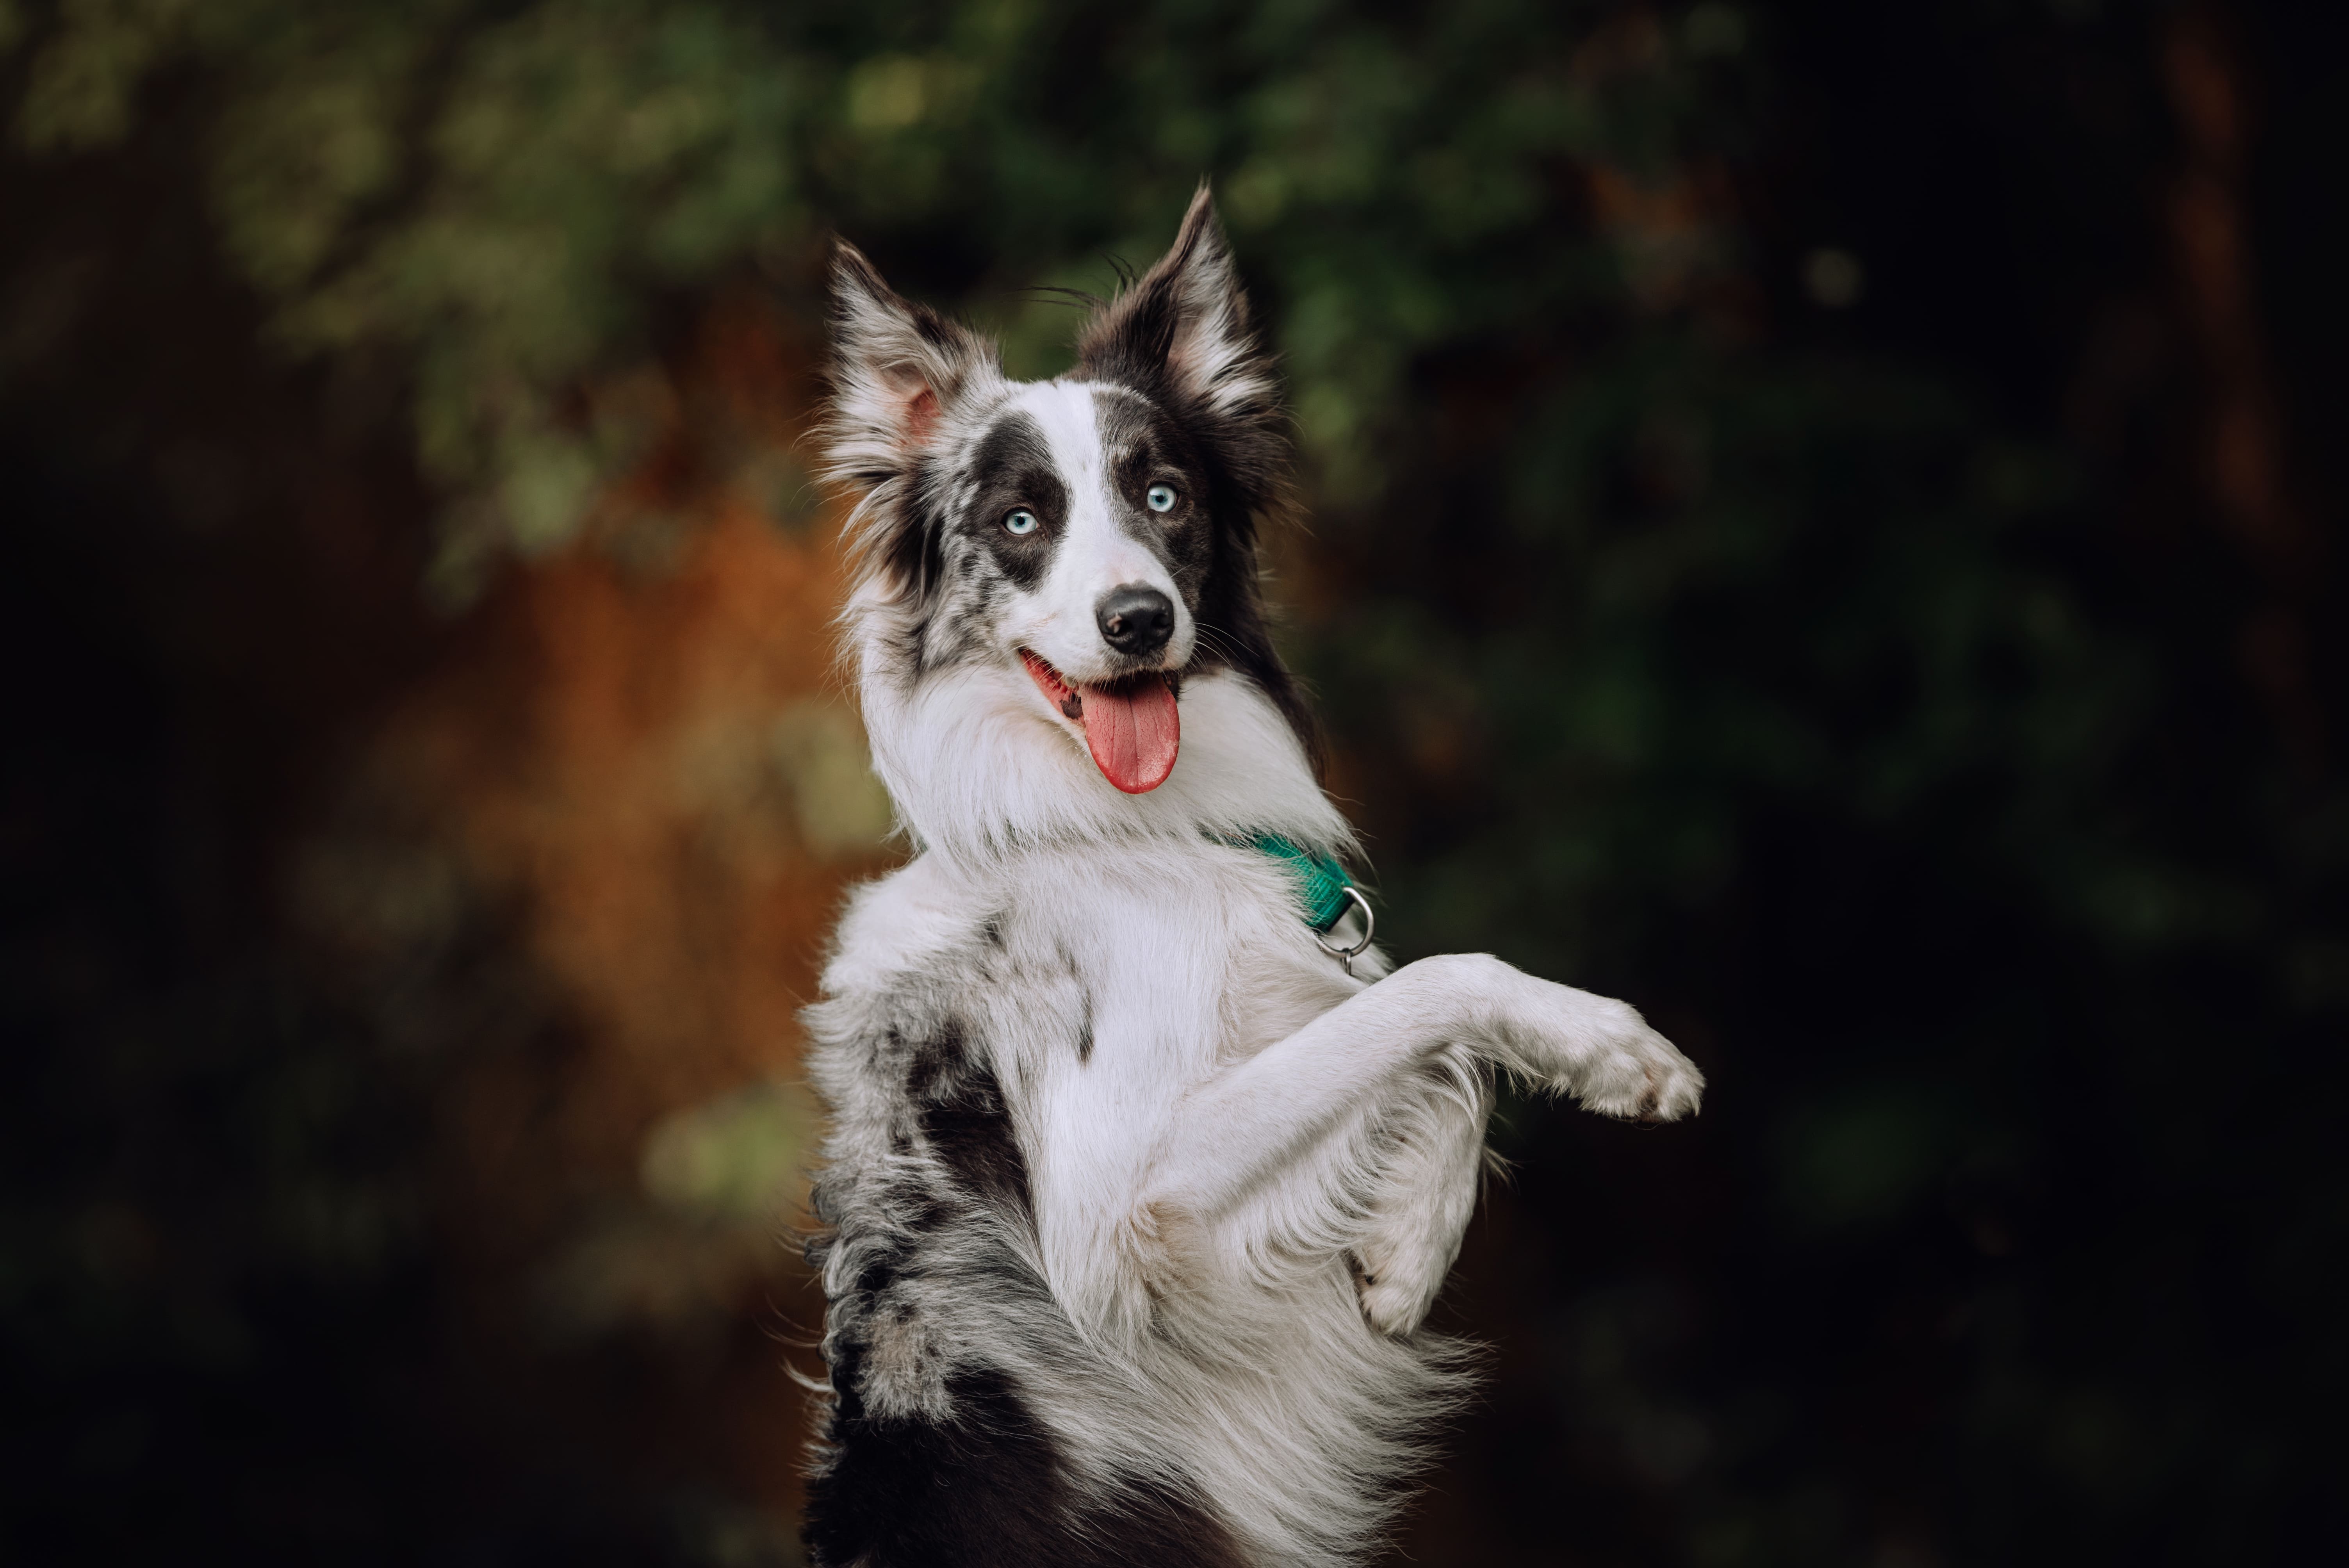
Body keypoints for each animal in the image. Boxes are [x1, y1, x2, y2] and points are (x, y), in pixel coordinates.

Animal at [798, 186, 1700, 1568]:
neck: (1130, 832)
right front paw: (1608, 1048)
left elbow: (1423, 1051)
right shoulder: (1125, 1212)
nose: (1136, 621)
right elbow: (1433, 994)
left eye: (1164, 495)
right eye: (1019, 524)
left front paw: (1405, 1249)